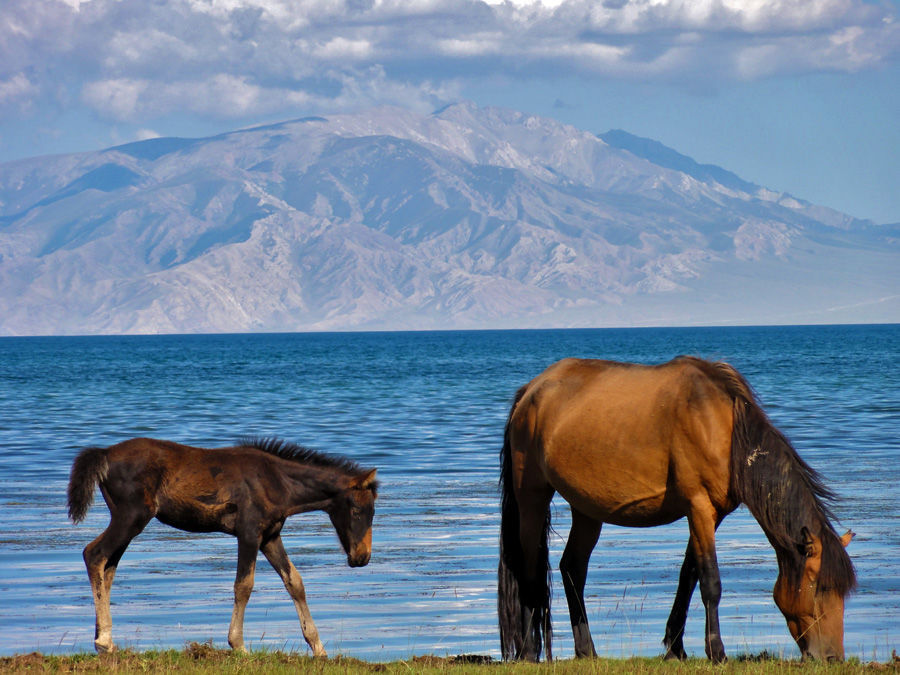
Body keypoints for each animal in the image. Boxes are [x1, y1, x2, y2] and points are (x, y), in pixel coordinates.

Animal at [67, 438, 376, 656]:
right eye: (357, 511)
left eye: (373, 512)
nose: (361, 557)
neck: (279, 483)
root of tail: (104, 453)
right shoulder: (248, 533)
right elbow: (244, 585)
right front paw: (238, 645)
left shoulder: (270, 537)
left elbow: (295, 583)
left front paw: (318, 648)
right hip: (131, 516)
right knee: (94, 554)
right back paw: (104, 641)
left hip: (127, 520)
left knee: (109, 566)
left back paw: (105, 640)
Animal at [500, 356, 856, 664]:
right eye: (819, 586)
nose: (833, 657)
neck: (722, 427)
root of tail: (531, 391)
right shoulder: (698, 506)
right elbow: (710, 581)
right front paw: (716, 652)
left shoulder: (712, 515)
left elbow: (689, 576)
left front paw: (676, 647)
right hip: (532, 497)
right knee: (529, 570)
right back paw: (529, 651)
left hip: (586, 509)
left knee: (572, 568)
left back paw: (587, 650)